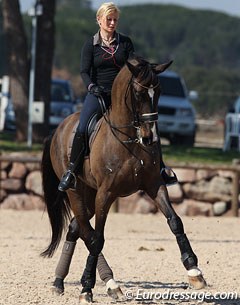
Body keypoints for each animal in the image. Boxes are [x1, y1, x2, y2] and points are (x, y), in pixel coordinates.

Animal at [41, 55, 206, 302]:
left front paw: (194, 271)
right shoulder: (106, 194)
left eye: (159, 91)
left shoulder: (154, 185)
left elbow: (175, 221)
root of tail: (59, 128)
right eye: (138, 94)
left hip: (89, 195)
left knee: (76, 227)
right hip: (75, 190)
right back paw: (107, 282)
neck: (130, 139)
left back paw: (60, 281)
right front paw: (87, 287)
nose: (150, 137)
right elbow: (97, 239)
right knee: (87, 233)